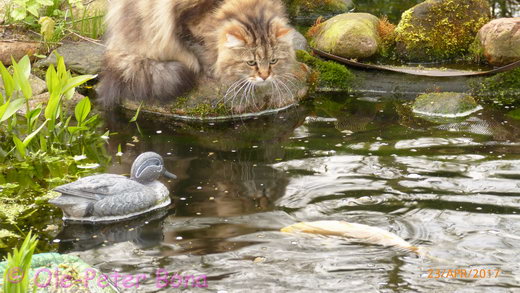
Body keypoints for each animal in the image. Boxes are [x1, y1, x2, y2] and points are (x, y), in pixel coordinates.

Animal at [99, 0, 298, 112]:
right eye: (251, 63)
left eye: (273, 61)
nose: (265, 76)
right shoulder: (185, 22)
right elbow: (198, 48)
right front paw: (209, 70)